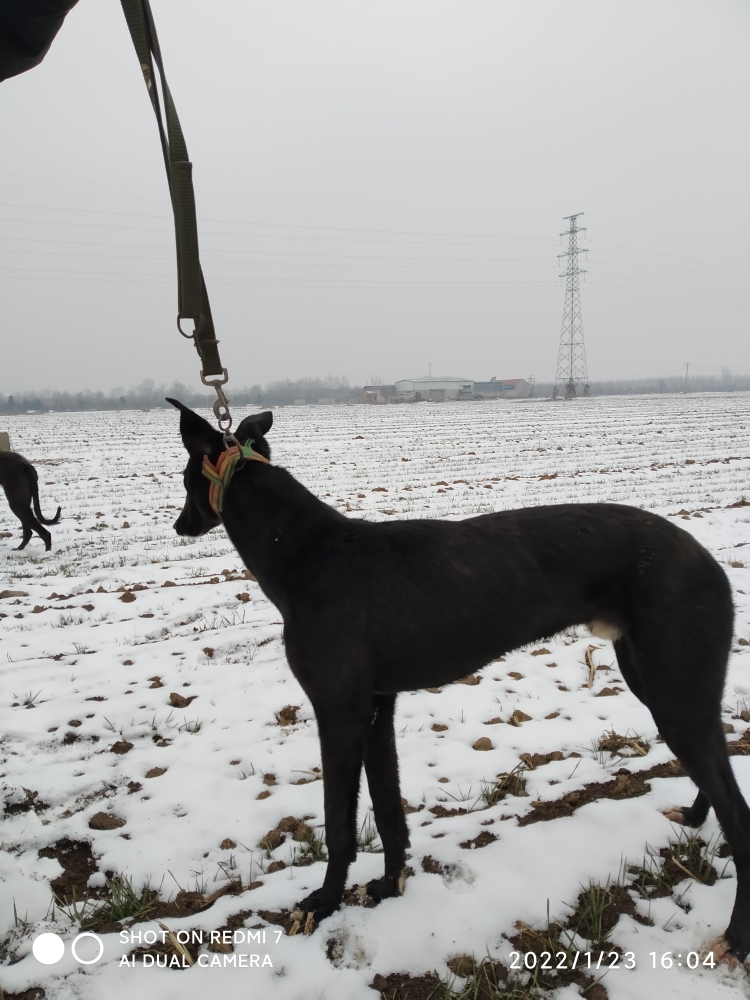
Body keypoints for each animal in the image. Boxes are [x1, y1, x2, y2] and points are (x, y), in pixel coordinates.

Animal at [169, 402, 750, 964]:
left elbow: (339, 823)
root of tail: (708, 561)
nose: (178, 526)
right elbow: (388, 809)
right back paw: (694, 817)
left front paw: (324, 902)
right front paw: (388, 886)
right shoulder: (376, 707)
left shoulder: (339, 712)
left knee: (738, 813)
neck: (307, 550)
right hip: (663, 683)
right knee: (718, 765)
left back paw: (735, 938)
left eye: (184, 478)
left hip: (674, 688)